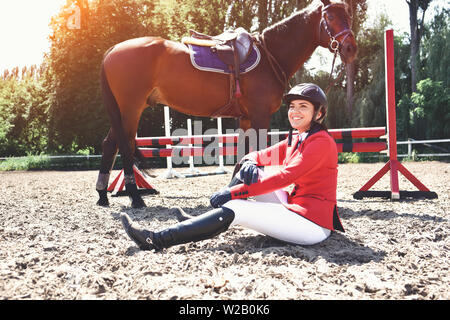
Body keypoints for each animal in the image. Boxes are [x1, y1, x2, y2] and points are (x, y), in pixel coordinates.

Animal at [96, 0, 356, 208]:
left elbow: (243, 154)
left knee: (110, 144)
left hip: (124, 110)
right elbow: (254, 152)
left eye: (349, 15)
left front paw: (235, 190)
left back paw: (102, 196)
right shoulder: (260, 116)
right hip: (131, 108)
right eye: (330, 17)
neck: (270, 55)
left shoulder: (246, 118)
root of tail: (113, 50)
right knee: (123, 145)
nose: (351, 48)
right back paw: (135, 198)